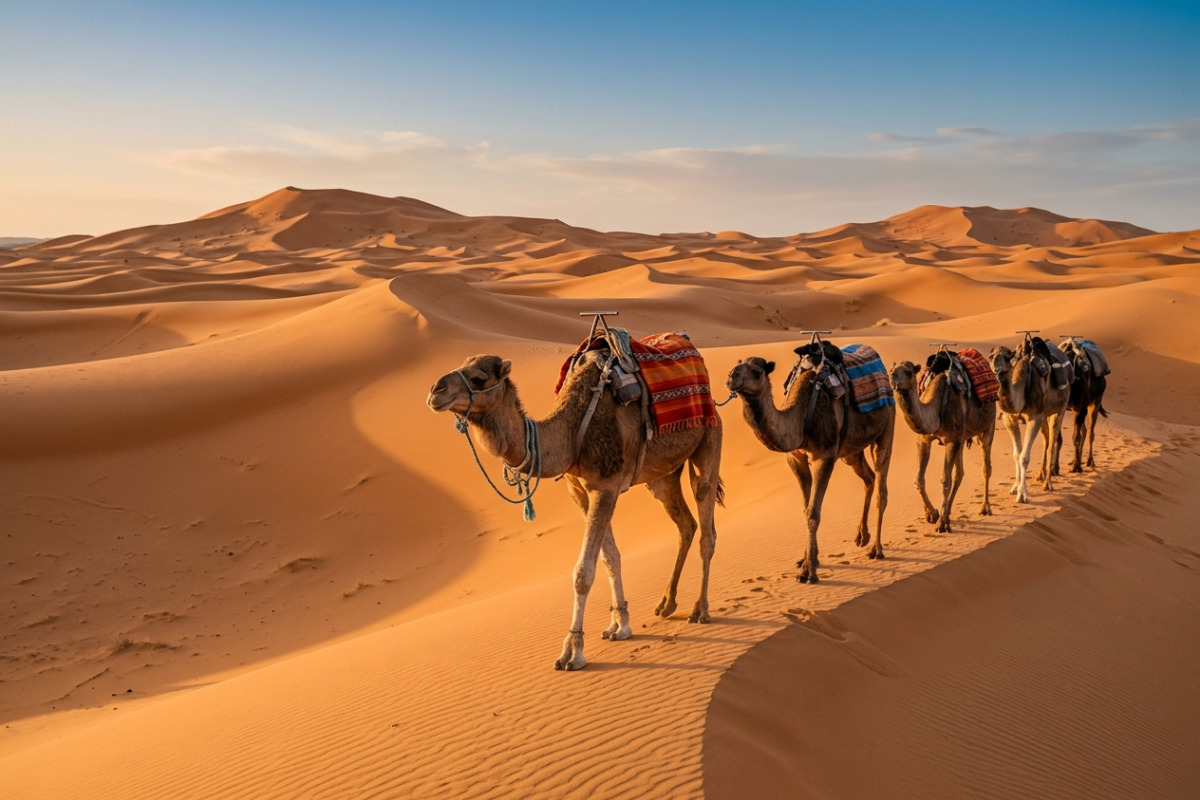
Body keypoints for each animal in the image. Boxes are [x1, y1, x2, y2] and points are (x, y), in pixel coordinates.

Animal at [427, 348, 722, 671]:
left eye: (479, 378)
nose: (435, 391)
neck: (568, 434)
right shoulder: (579, 492)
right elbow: (610, 558)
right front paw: (620, 626)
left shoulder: (605, 488)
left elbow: (583, 572)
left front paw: (573, 651)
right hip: (661, 475)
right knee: (686, 524)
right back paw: (667, 603)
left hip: (709, 439)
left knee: (706, 525)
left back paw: (700, 609)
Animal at [725, 343, 894, 583]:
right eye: (736, 365)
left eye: (756, 372)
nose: (732, 377)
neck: (801, 414)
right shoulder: (796, 458)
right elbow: (806, 509)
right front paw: (807, 560)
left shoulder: (825, 455)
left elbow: (814, 512)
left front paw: (809, 572)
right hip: (851, 450)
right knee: (869, 479)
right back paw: (862, 536)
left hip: (886, 428)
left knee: (882, 486)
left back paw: (876, 549)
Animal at [890, 358, 996, 532]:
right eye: (891, 370)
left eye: (908, 372)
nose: (893, 379)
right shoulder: (924, 440)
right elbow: (919, 479)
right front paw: (933, 514)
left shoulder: (951, 440)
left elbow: (945, 480)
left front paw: (941, 524)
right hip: (962, 438)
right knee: (960, 473)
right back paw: (948, 512)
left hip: (988, 427)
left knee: (986, 466)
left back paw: (985, 508)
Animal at [989, 337, 1071, 502]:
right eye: (990, 357)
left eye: (1007, 356)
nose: (997, 371)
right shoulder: (1009, 419)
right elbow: (1016, 454)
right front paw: (1014, 488)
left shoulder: (1034, 417)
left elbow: (1024, 456)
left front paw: (1022, 494)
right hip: (1044, 414)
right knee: (1046, 439)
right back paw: (1040, 475)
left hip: (1059, 409)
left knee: (1052, 442)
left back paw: (1048, 483)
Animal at [1055, 338, 1109, 474]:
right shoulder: (1061, 409)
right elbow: (1058, 438)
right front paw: (1054, 469)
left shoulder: (1080, 407)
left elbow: (1076, 437)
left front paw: (1076, 467)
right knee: (1084, 430)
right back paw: (1075, 460)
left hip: (1095, 402)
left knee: (1090, 432)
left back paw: (1090, 461)